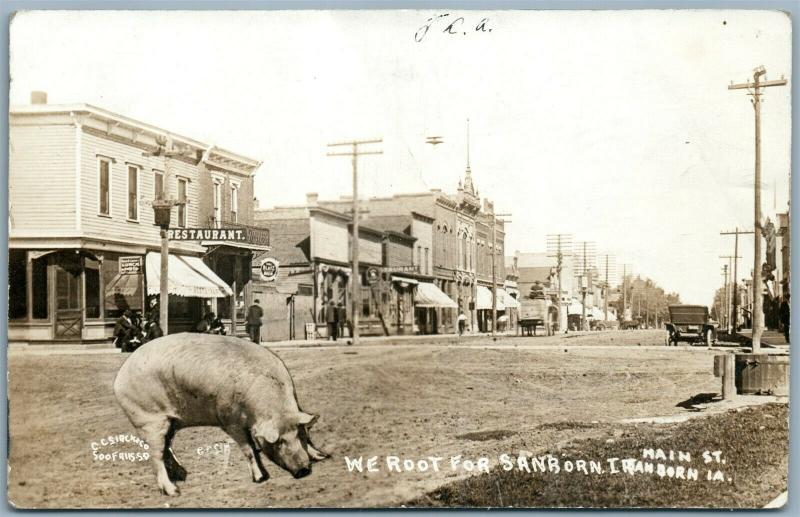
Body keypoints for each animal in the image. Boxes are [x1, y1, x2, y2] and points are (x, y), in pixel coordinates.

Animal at [112, 332, 328, 494]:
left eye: (299, 434)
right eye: (279, 442)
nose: (304, 470)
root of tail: (119, 378)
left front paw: (323, 456)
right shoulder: (230, 420)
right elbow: (248, 448)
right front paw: (261, 478)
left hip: (170, 421)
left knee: (167, 448)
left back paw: (183, 476)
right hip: (148, 419)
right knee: (155, 454)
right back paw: (173, 491)